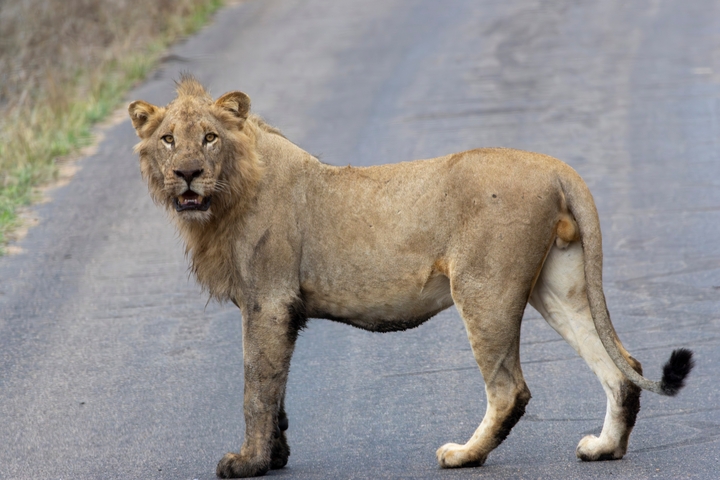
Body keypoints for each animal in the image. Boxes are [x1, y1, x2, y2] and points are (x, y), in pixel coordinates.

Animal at [128, 76, 694, 478]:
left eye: (209, 138)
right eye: (167, 140)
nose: (186, 174)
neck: (227, 196)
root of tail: (557, 167)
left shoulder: (268, 299)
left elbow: (256, 388)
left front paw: (248, 463)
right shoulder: (281, 310)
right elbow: (278, 388)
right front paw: (276, 455)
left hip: (484, 289)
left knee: (510, 389)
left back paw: (464, 455)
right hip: (557, 286)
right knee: (621, 367)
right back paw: (604, 449)